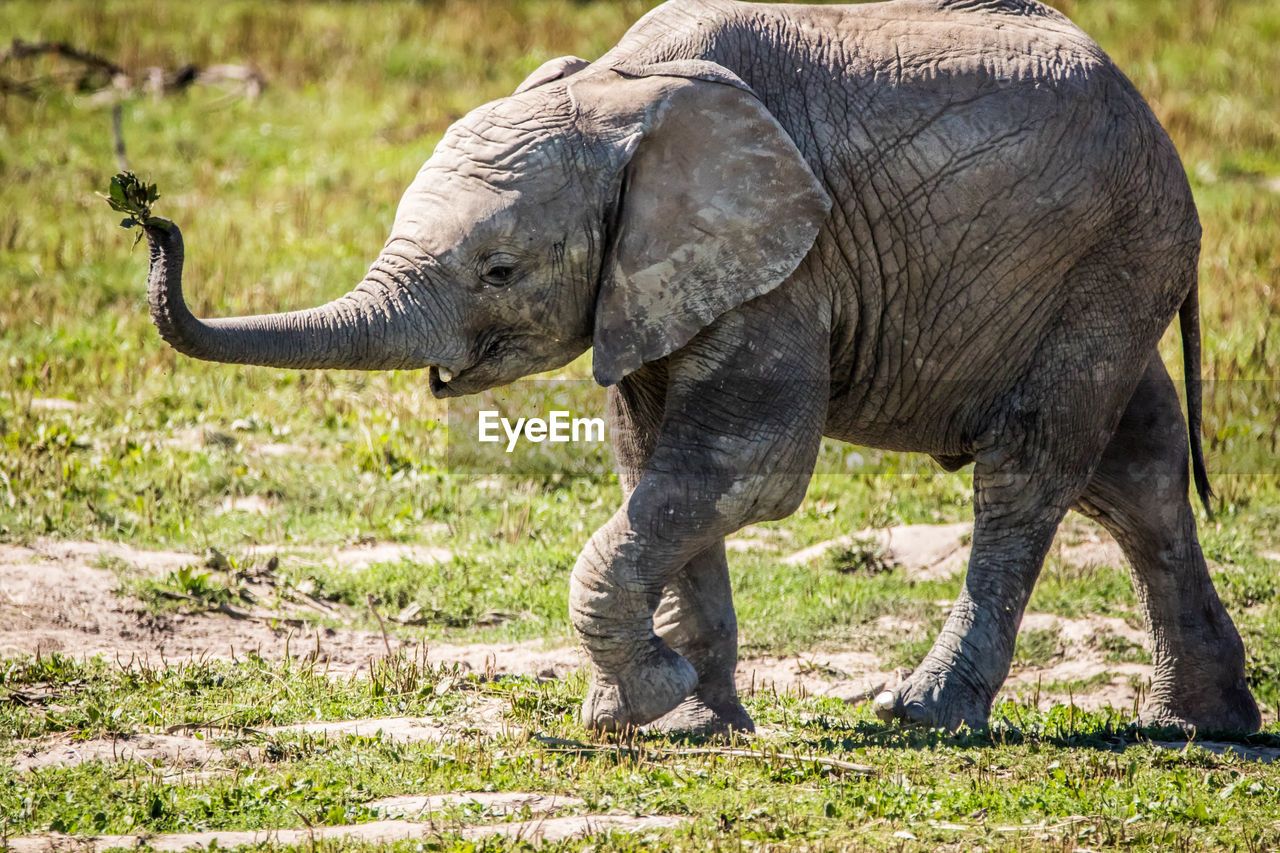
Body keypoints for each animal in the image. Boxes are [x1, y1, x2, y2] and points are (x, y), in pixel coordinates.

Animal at [137, 0, 1259, 732]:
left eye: (500, 269)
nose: (152, 220)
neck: (612, 88)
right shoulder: (654, 279)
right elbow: (655, 466)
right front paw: (684, 718)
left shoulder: (790, 263)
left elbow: (743, 468)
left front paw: (648, 700)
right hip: (1104, 269)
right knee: (1136, 472)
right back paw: (1202, 727)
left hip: (1106, 256)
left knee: (1028, 472)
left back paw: (922, 713)